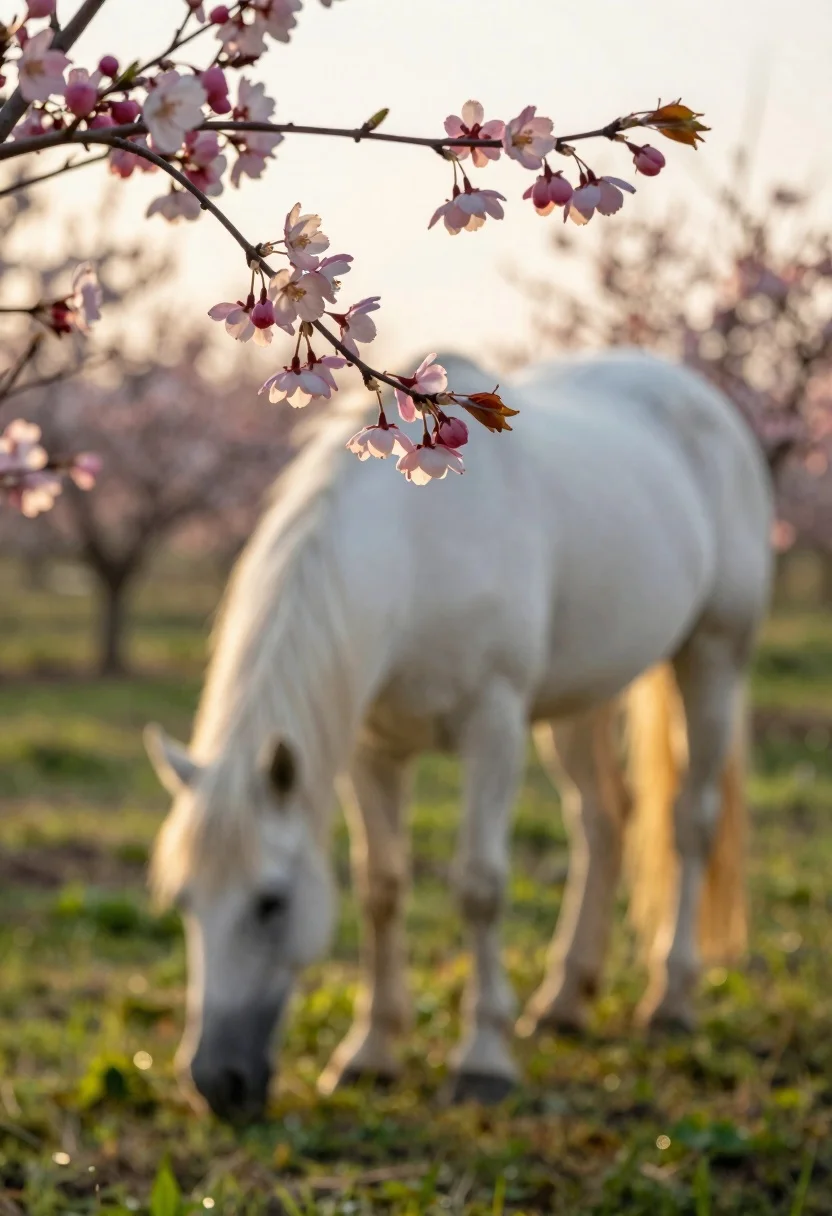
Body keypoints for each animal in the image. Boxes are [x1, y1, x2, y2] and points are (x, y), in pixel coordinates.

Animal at [144, 349, 772, 1121]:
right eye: (184, 902)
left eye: (271, 903)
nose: (215, 1083)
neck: (417, 553)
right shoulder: (373, 751)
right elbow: (381, 887)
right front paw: (370, 1052)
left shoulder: (493, 726)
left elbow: (479, 886)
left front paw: (483, 1061)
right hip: (583, 695)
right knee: (603, 821)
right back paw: (565, 1000)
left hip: (713, 658)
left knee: (691, 821)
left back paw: (671, 998)